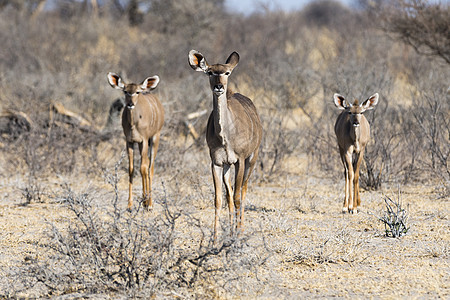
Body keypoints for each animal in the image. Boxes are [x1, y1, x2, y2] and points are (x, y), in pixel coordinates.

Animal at [107, 72, 165, 211]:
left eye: (137, 92)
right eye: (125, 91)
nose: (130, 104)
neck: (134, 124)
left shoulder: (144, 139)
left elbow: (144, 168)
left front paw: (149, 204)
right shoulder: (130, 141)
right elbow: (131, 169)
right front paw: (130, 205)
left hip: (155, 137)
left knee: (150, 167)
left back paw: (149, 202)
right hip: (141, 144)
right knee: (145, 164)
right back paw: (144, 200)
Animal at [187, 49, 264, 241]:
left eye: (227, 73)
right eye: (210, 72)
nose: (219, 87)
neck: (225, 136)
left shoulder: (240, 160)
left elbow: (237, 196)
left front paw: (238, 234)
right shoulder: (217, 162)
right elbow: (219, 199)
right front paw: (215, 239)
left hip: (252, 159)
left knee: (243, 190)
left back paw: (239, 229)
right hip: (229, 166)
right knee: (229, 193)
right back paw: (230, 230)